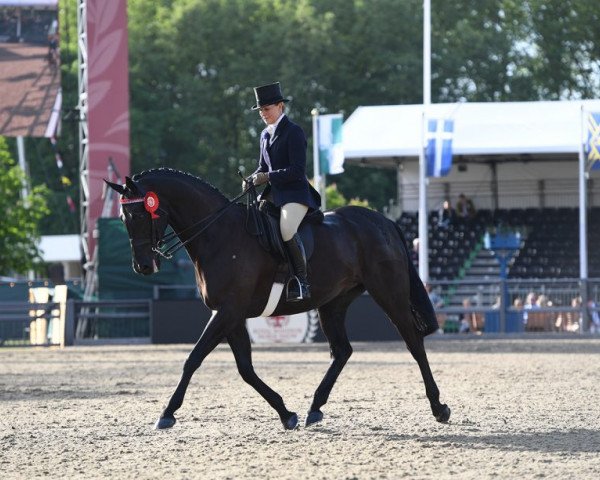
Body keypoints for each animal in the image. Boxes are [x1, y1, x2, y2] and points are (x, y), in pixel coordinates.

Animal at [106, 169, 450, 432]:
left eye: (141, 213)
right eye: (123, 217)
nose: (144, 266)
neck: (219, 234)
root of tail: (383, 221)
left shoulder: (227, 311)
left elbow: (193, 359)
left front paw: (167, 414)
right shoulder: (230, 315)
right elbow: (245, 368)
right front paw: (287, 413)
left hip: (388, 292)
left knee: (413, 343)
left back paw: (439, 407)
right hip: (333, 302)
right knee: (342, 351)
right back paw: (314, 408)